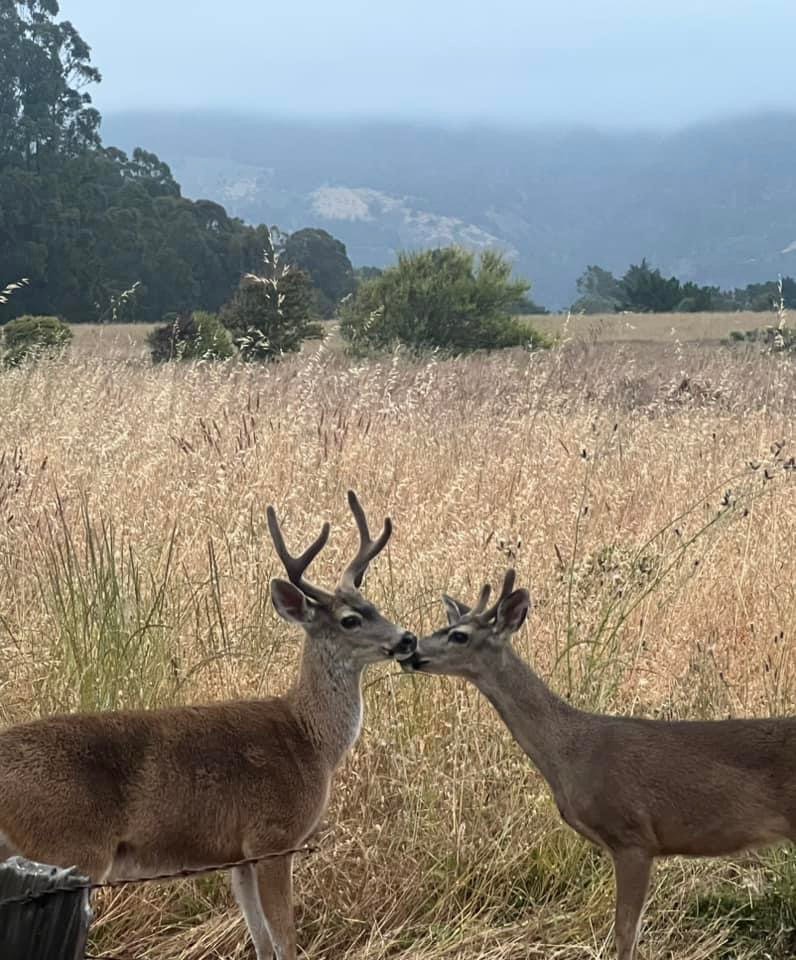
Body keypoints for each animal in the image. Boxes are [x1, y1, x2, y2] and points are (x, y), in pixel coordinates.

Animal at [0, 492, 420, 956]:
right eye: (350, 619)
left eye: (374, 606)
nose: (407, 638)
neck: (311, 740)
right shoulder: (273, 837)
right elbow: (286, 941)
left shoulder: (239, 856)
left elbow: (263, 943)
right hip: (70, 846)